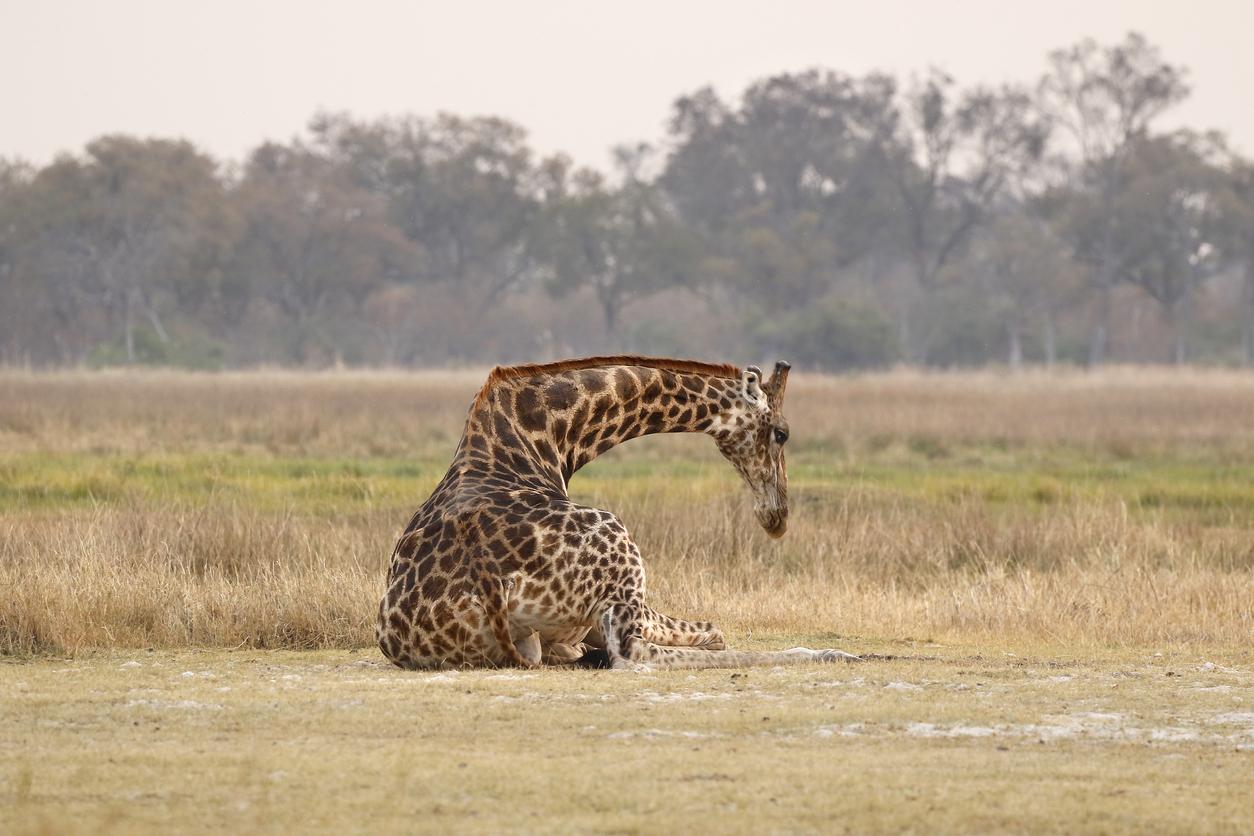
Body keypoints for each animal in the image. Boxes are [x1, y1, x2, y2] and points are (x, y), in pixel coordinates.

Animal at [377, 355, 858, 670]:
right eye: (782, 432)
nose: (778, 518)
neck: (549, 435)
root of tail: (488, 584)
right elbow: (714, 633)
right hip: (622, 549)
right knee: (632, 654)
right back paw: (829, 653)